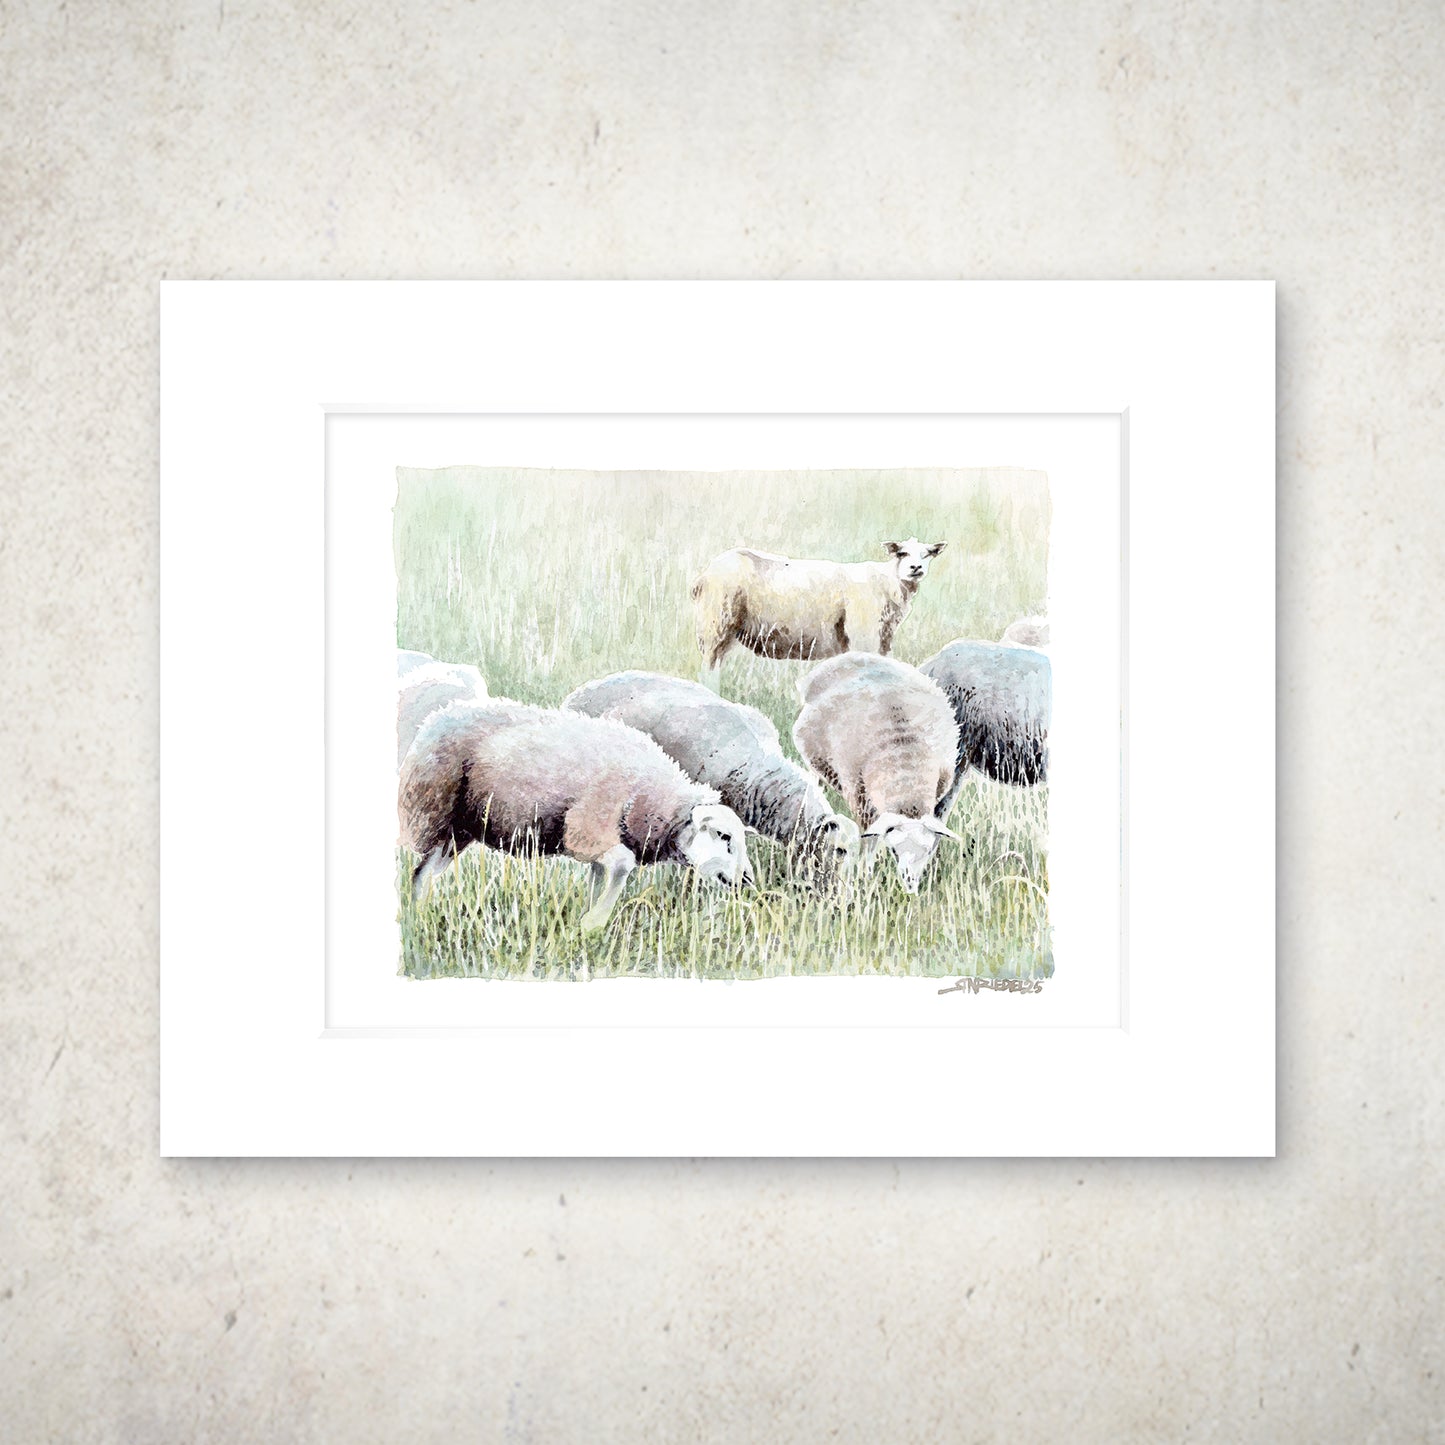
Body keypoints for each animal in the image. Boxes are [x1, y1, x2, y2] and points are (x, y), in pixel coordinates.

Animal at [398, 698, 755, 931]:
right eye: (723, 836)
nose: (748, 880)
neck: (652, 799)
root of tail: (434, 719)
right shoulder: (586, 829)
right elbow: (622, 865)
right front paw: (594, 921)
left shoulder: (599, 841)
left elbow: (601, 877)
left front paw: (586, 921)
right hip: (430, 810)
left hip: (459, 830)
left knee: (423, 874)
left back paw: (420, 917)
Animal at [690, 538, 947, 677]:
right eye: (902, 553)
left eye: (927, 554)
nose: (915, 568)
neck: (888, 581)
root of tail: (703, 576)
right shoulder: (863, 638)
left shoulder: (881, 642)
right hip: (715, 625)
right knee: (708, 672)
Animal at [791, 653, 962, 894]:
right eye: (894, 851)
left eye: (928, 851)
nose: (911, 887)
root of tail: (849, 655)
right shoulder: (859, 796)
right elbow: (869, 841)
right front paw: (866, 875)